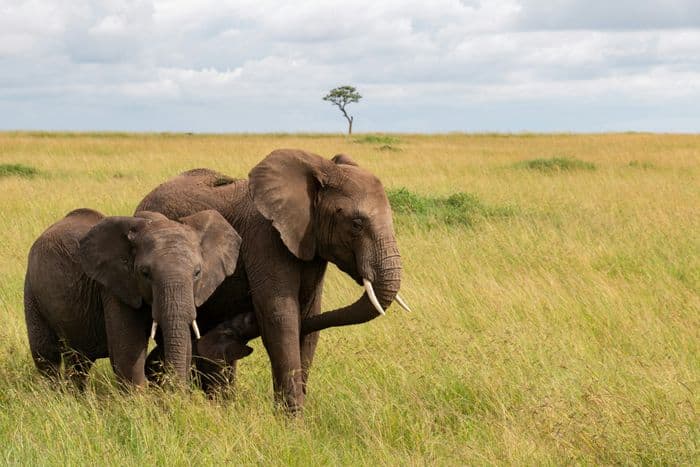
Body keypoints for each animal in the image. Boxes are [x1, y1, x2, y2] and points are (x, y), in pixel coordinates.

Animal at [23, 208, 243, 388]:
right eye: (145, 273)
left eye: (197, 273)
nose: (177, 393)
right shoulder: (115, 287)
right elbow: (128, 353)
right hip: (32, 291)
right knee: (47, 355)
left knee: (78, 360)